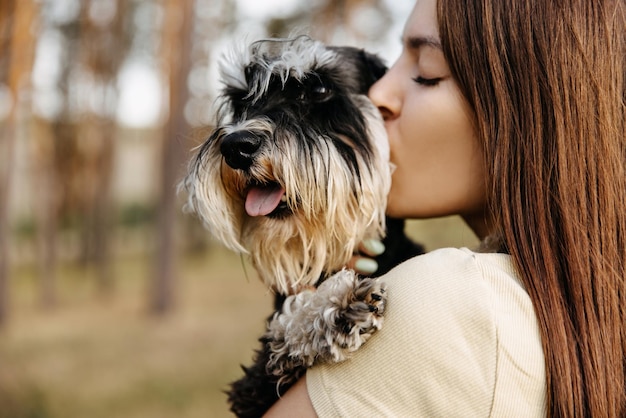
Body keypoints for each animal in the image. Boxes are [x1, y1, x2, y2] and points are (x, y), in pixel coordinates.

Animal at [183, 36, 422, 418]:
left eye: (320, 88)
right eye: (241, 100)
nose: (235, 146)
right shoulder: (249, 390)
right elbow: (279, 337)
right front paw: (338, 306)